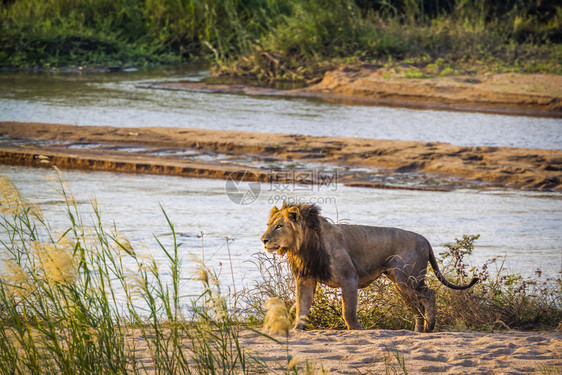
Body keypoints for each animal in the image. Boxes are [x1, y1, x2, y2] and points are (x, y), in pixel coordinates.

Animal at [260, 204, 474, 334]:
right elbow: (301, 307)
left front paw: (357, 329)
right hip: (401, 283)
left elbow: (348, 309)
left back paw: (429, 327)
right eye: (269, 224)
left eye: (279, 226)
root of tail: (425, 239)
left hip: (406, 278)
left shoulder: (349, 278)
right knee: (418, 306)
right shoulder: (306, 279)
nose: (263, 239)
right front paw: (297, 329)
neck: (303, 248)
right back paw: (419, 331)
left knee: (429, 294)